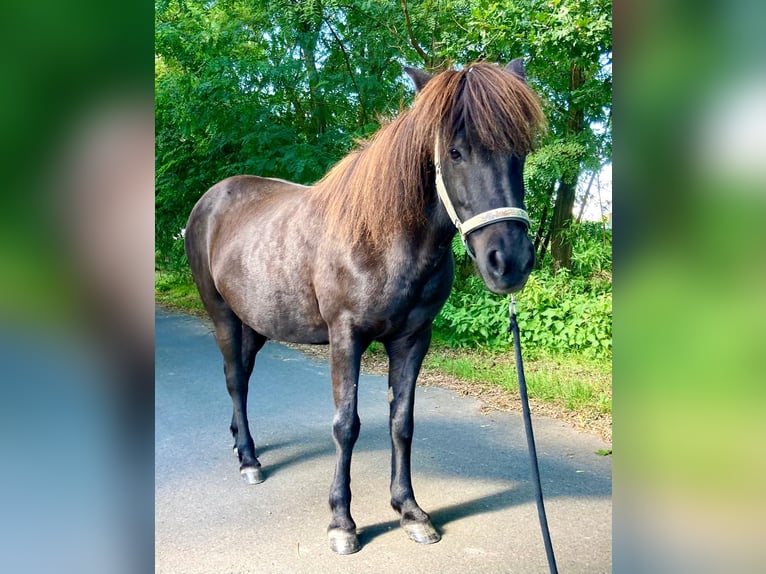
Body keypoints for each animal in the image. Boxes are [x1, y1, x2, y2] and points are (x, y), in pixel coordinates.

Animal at [184, 60, 545, 554]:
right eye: (455, 152)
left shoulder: (412, 339)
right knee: (236, 380)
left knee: (241, 375)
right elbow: (346, 425)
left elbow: (401, 422)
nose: (509, 262)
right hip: (222, 314)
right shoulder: (346, 337)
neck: (383, 237)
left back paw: (241, 443)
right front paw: (342, 522)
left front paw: (410, 511)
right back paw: (250, 461)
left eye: (520, 153)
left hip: (254, 323)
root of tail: (209, 201)